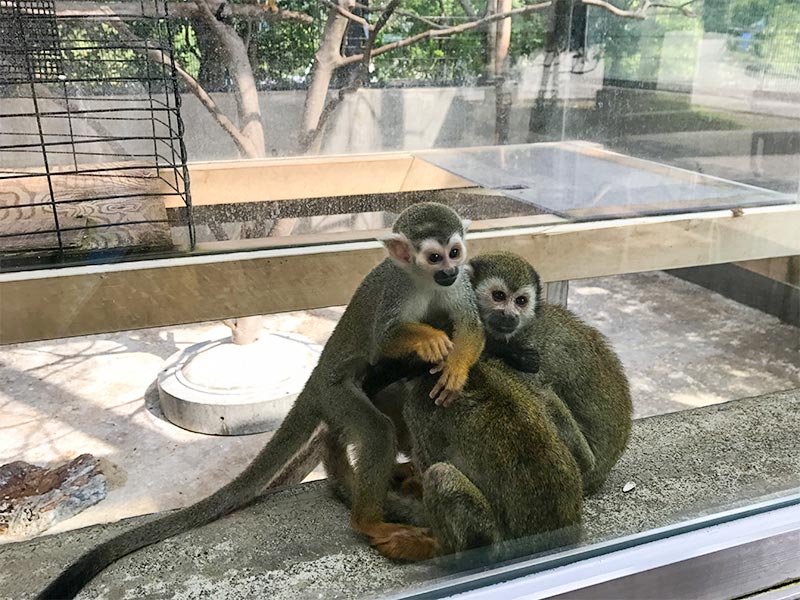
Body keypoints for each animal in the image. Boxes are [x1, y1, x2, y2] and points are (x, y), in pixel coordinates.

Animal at [40, 203, 484, 600]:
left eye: (455, 252)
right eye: (433, 256)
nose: (448, 271)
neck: (424, 282)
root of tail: (316, 377)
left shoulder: (459, 288)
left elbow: (470, 326)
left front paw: (456, 368)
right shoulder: (394, 289)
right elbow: (384, 338)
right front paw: (428, 339)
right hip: (337, 394)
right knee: (375, 429)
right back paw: (368, 522)